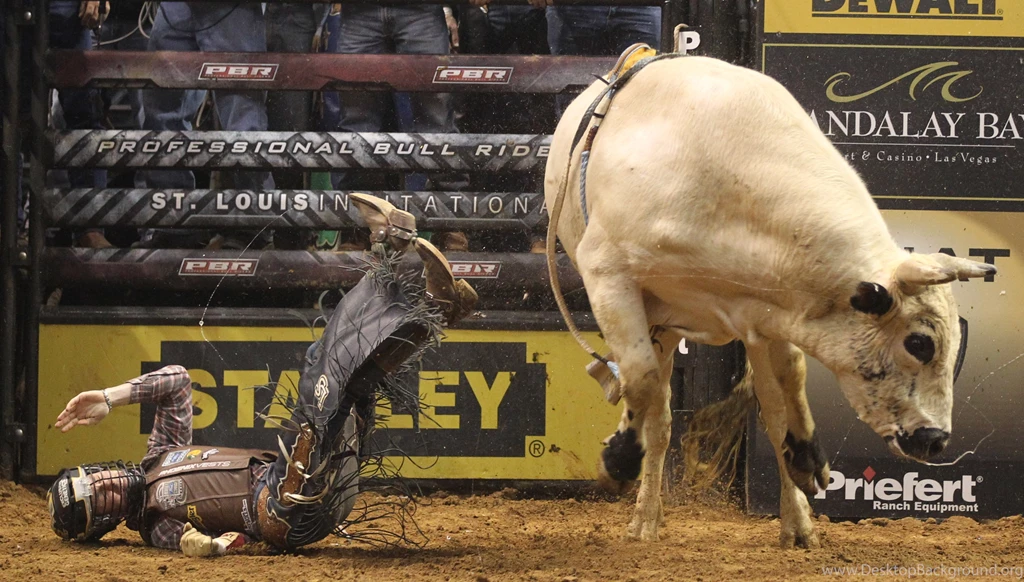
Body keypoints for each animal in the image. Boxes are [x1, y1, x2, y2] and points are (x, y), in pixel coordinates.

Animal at [542, 54, 995, 548]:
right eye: (920, 343)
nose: (936, 440)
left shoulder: (772, 312)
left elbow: (788, 387)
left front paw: (807, 460)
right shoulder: (609, 275)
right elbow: (640, 379)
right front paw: (619, 462)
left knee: (764, 409)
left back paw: (795, 522)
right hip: (655, 319)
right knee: (658, 415)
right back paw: (645, 519)